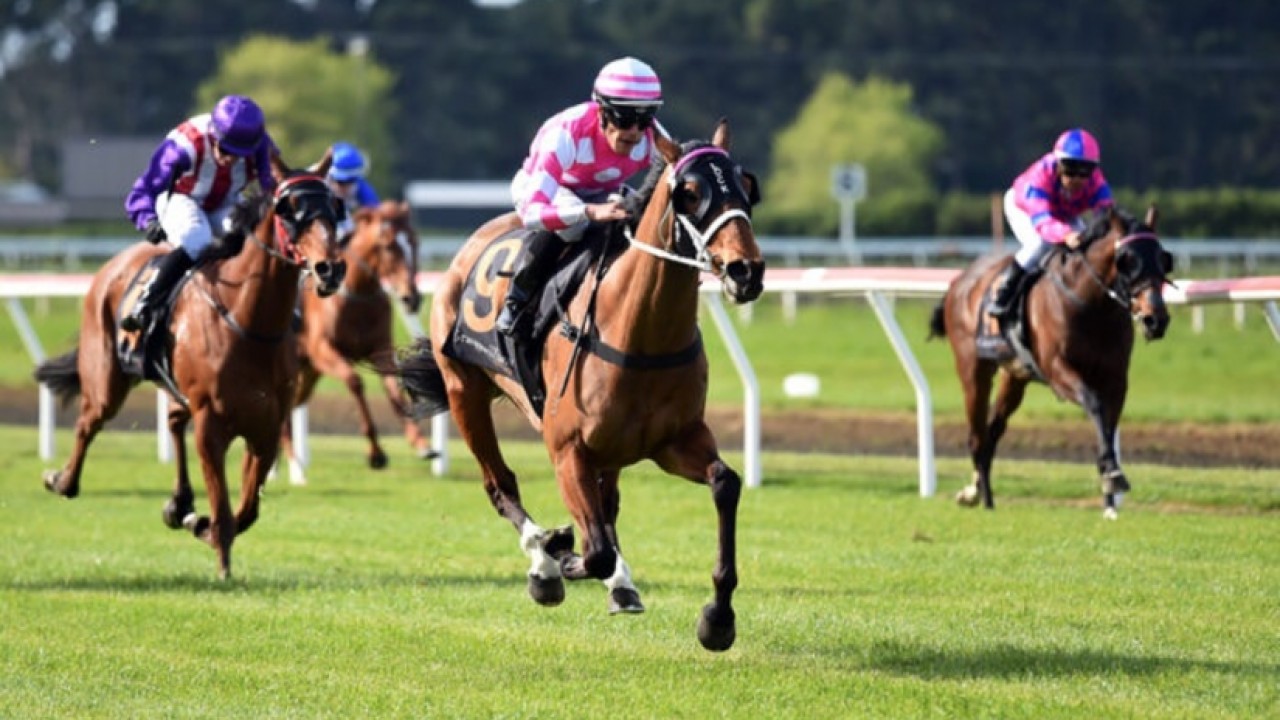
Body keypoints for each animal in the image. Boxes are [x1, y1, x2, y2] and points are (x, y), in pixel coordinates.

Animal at [35, 149, 345, 576]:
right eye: (290, 210)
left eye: (334, 208)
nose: (331, 268)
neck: (248, 322)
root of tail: (116, 263)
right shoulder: (212, 423)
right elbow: (225, 510)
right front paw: (221, 561)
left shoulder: (265, 426)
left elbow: (247, 510)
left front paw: (197, 521)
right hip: (105, 378)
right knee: (89, 423)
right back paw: (63, 480)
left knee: (173, 421)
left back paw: (178, 503)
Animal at [277, 196, 432, 481]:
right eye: (389, 245)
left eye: (414, 242)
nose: (412, 298)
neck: (358, 295)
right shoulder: (323, 350)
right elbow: (355, 382)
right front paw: (376, 453)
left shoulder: (380, 350)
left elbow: (394, 388)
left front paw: (421, 444)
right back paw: (295, 469)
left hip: (308, 372)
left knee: (294, 403)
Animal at [399, 119, 757, 650]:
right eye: (690, 193)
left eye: (745, 186)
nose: (746, 270)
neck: (638, 332)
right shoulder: (567, 449)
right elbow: (595, 551)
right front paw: (558, 553)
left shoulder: (676, 440)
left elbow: (724, 483)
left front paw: (718, 616)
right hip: (465, 392)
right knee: (501, 486)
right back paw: (545, 561)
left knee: (608, 507)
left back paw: (616, 582)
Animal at [926, 206, 1172, 515]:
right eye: (1127, 261)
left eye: (1163, 258)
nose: (1156, 319)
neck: (1091, 306)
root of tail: (959, 282)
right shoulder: (1058, 370)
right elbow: (1094, 403)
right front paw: (1113, 478)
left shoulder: (1116, 380)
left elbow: (1107, 424)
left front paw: (1109, 497)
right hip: (973, 370)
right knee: (977, 436)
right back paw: (976, 495)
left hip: (1014, 377)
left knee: (992, 433)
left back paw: (985, 496)